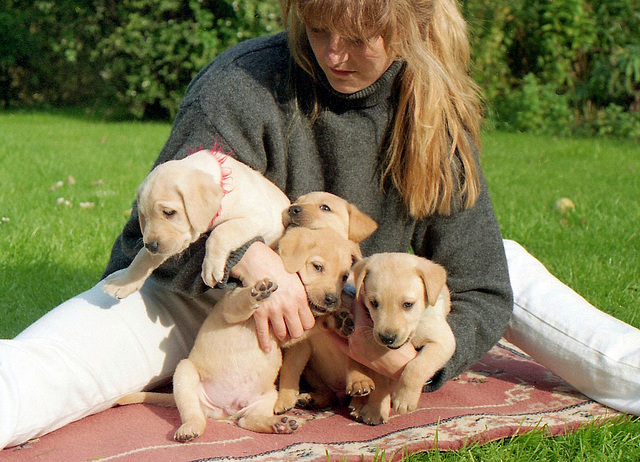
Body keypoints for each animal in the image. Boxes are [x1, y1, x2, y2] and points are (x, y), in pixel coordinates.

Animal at [103, 150, 290, 298]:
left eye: (169, 212)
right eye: (144, 216)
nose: (151, 245)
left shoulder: (258, 217)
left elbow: (220, 232)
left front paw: (211, 267)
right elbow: (143, 257)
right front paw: (123, 282)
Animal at [115, 226, 360, 442]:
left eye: (344, 276)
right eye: (317, 267)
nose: (332, 300)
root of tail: (226, 410)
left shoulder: (290, 332)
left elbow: (316, 324)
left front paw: (338, 320)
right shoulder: (231, 308)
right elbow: (243, 300)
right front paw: (256, 292)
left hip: (268, 395)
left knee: (247, 421)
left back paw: (279, 424)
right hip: (184, 374)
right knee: (194, 415)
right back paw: (189, 429)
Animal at [350, 253, 456, 426]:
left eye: (408, 304)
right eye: (374, 303)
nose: (387, 338)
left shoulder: (442, 341)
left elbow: (416, 367)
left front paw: (404, 398)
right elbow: (379, 381)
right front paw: (375, 409)